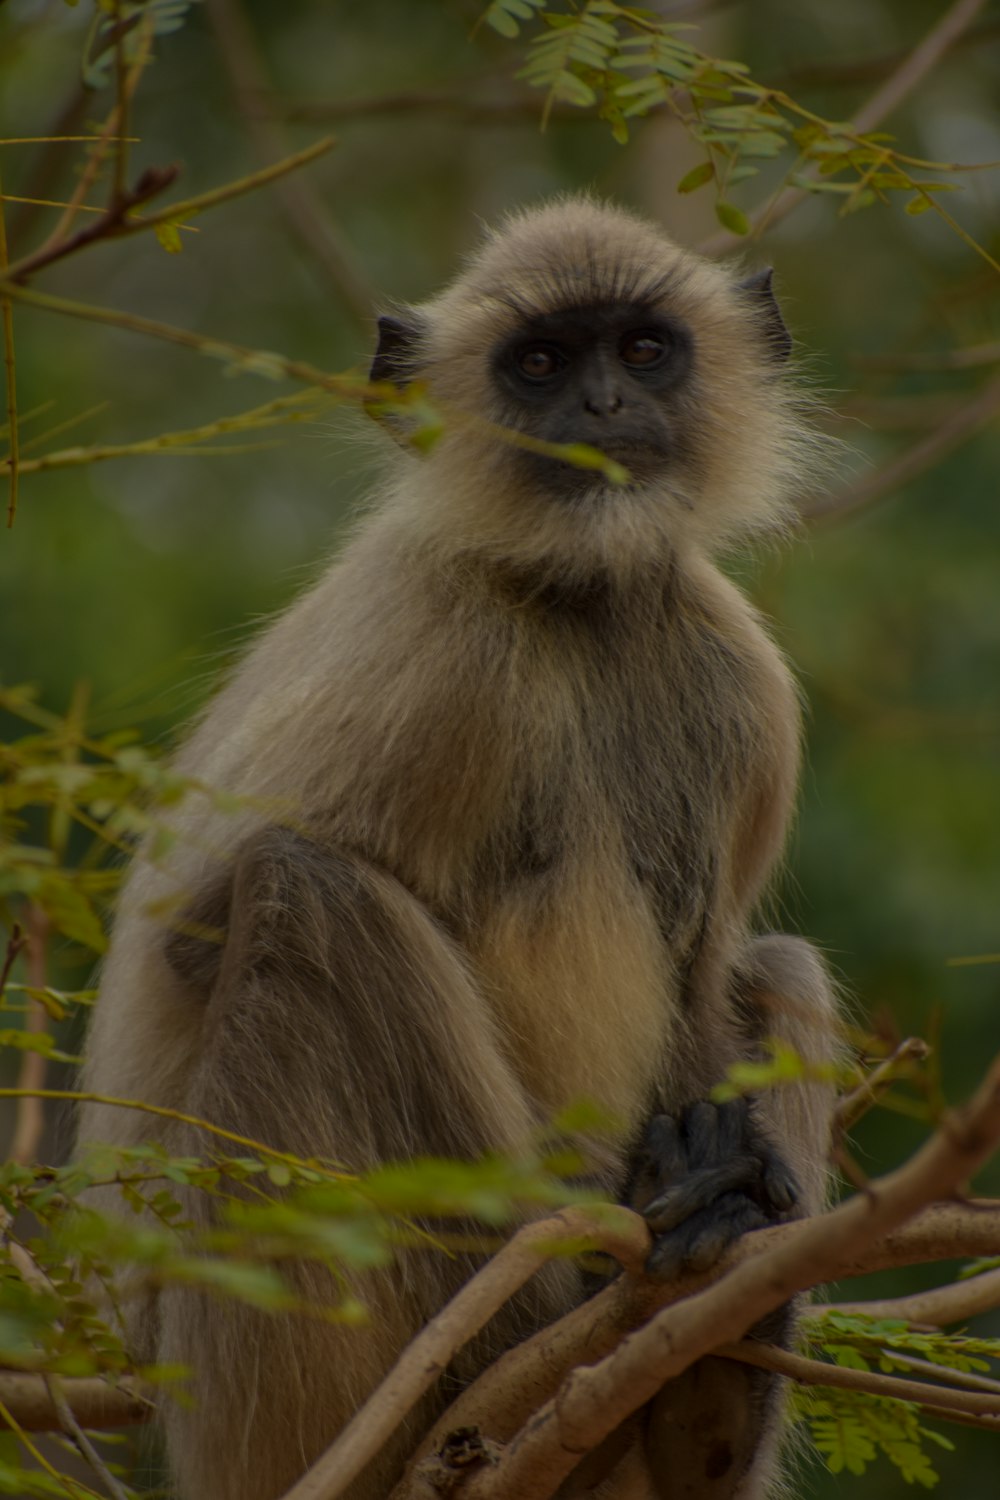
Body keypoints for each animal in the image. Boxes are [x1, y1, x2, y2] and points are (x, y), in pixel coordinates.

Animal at [78, 199, 839, 1500]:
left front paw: (701, 1201)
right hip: (264, 1380)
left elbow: (702, 969)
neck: (578, 603)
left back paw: (703, 1390)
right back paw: (513, 1351)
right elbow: (196, 930)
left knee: (775, 964)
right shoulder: (441, 657)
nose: (599, 407)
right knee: (313, 897)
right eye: (537, 362)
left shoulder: (739, 683)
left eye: (643, 350)